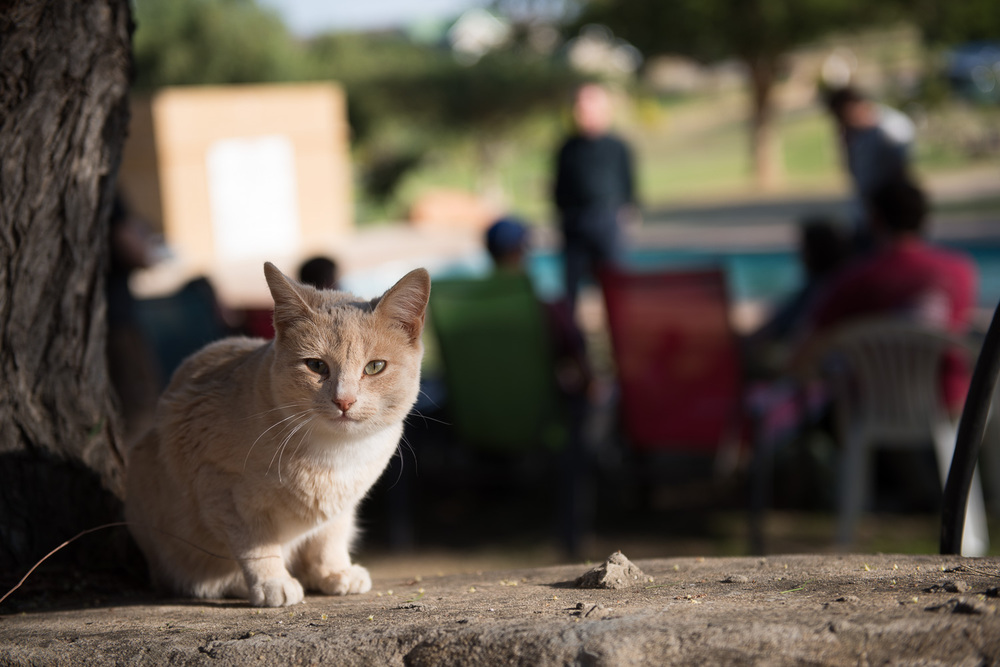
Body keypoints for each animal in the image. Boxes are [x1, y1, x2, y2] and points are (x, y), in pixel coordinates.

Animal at [125, 262, 430, 607]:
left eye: (375, 367)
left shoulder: (342, 508)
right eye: (316, 366)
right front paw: (272, 582)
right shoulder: (222, 491)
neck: (333, 455)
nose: (344, 400)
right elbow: (255, 544)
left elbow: (329, 538)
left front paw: (332, 571)